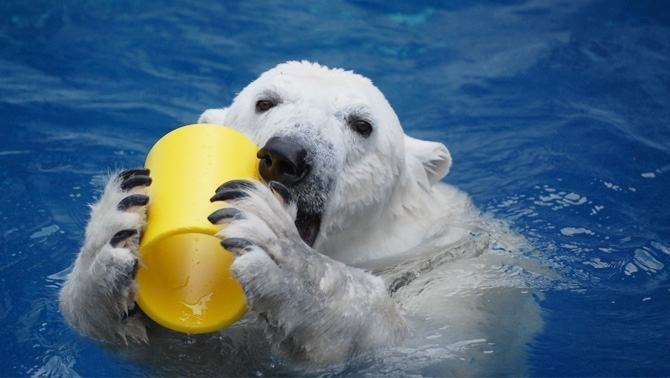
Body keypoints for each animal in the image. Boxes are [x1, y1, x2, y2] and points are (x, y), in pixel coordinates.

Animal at [59, 60, 544, 374]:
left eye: (362, 124)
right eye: (265, 101)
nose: (285, 155)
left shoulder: (459, 276)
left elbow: (431, 350)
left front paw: (284, 258)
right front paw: (112, 233)